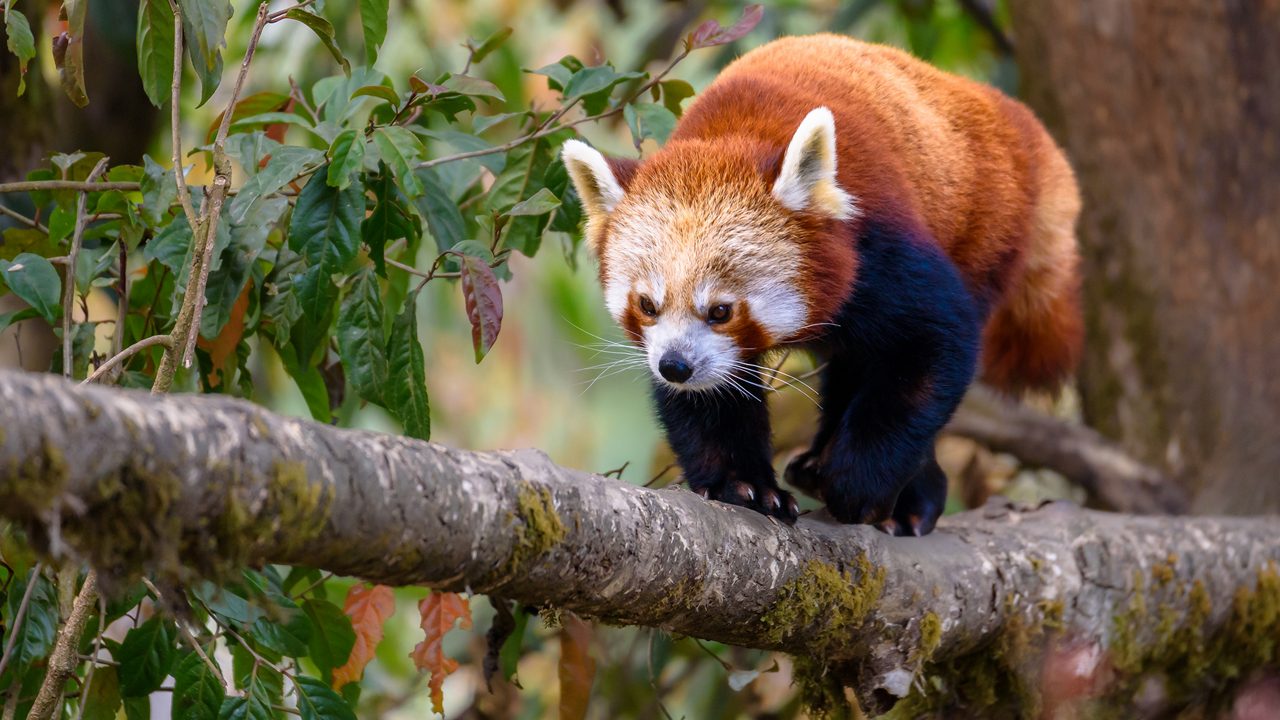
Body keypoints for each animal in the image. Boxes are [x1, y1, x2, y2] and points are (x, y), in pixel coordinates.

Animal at [560, 33, 1080, 532]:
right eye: (648, 305)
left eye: (721, 311)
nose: (675, 366)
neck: (732, 130)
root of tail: (1009, 116)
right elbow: (712, 403)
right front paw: (746, 486)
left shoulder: (877, 252)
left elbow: (934, 344)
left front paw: (858, 485)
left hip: (985, 226)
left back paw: (902, 496)